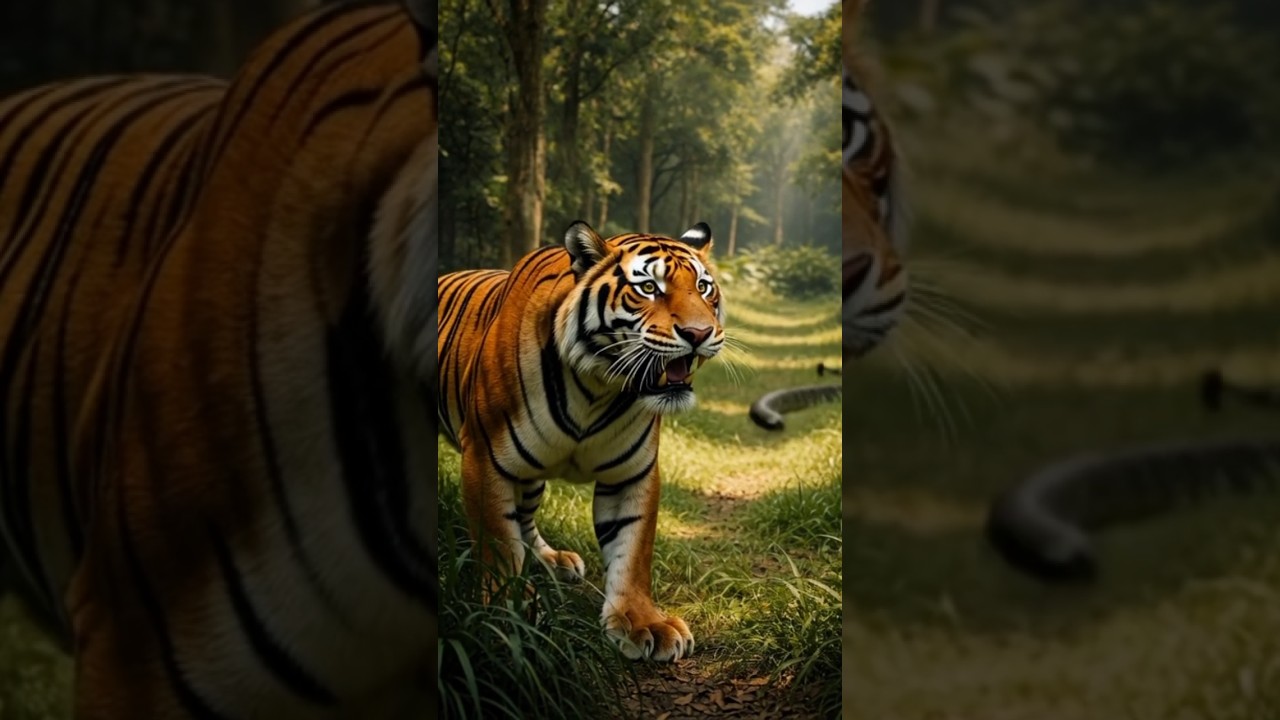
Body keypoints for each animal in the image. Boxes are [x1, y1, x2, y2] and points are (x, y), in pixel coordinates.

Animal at [437, 220, 723, 663]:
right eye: (649, 288)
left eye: (704, 288)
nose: (699, 332)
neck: (598, 387)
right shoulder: (485, 456)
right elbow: (498, 542)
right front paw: (506, 612)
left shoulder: (632, 473)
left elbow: (632, 550)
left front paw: (644, 623)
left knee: (525, 517)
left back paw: (552, 560)